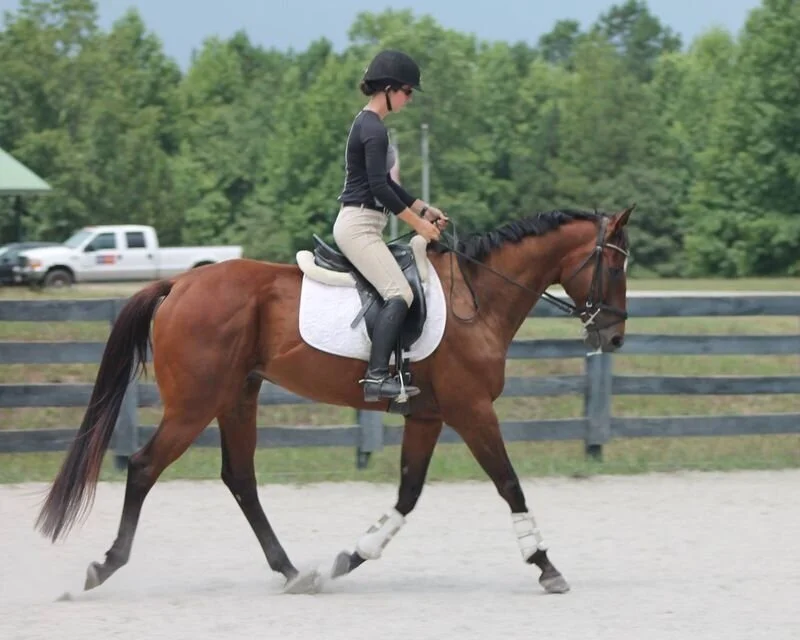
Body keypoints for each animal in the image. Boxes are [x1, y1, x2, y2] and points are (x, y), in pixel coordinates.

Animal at [34, 204, 634, 596]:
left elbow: (409, 493)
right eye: (614, 264)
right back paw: (106, 565)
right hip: (194, 405)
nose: (613, 337)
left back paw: (293, 571)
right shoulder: (472, 411)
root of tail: (180, 284)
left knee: (240, 478)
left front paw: (352, 557)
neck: (478, 299)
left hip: (237, 398)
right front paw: (545, 565)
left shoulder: (429, 415)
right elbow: (509, 484)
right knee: (143, 466)